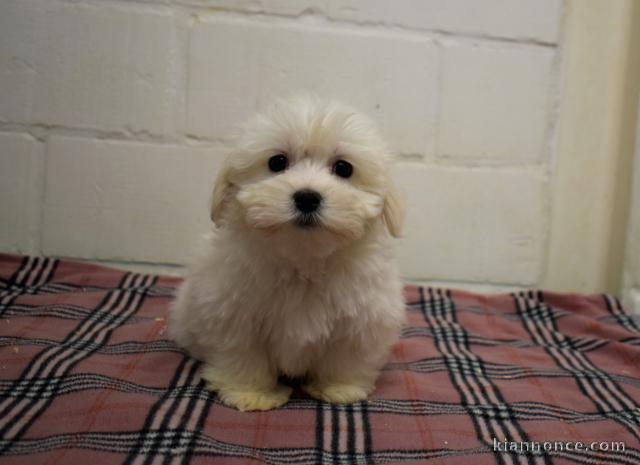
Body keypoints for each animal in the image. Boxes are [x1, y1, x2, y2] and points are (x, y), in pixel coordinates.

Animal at [170, 95, 404, 410]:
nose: (307, 197)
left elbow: (345, 356)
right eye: (277, 162)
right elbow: (244, 355)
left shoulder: (362, 319)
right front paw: (251, 393)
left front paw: (339, 388)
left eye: (344, 168)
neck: (302, 260)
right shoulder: (233, 315)